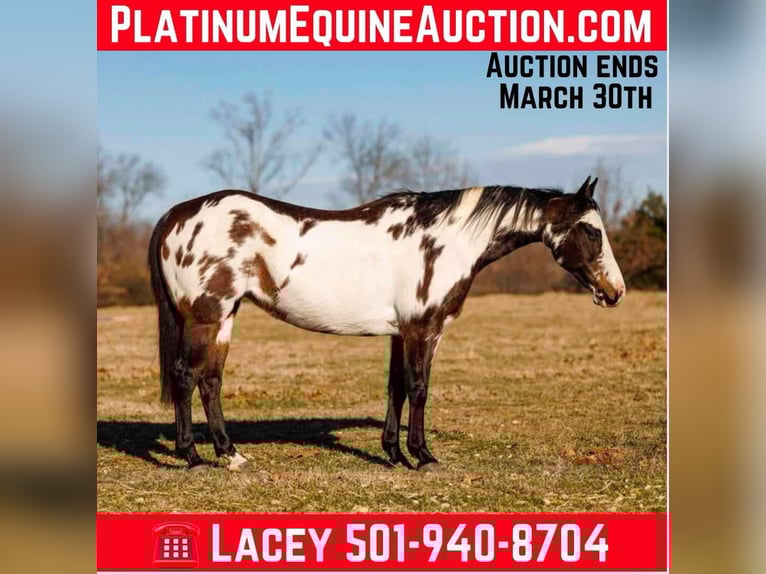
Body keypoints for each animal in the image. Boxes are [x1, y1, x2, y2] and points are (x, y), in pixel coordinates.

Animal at [148, 176, 625, 472]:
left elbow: (395, 387)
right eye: (591, 231)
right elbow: (419, 388)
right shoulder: (424, 329)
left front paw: (394, 454)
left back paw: (232, 455)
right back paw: (193, 457)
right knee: (186, 376)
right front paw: (424, 456)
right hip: (207, 316)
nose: (615, 291)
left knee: (210, 381)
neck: (448, 239)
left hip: (223, 318)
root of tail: (177, 214)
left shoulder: (400, 332)